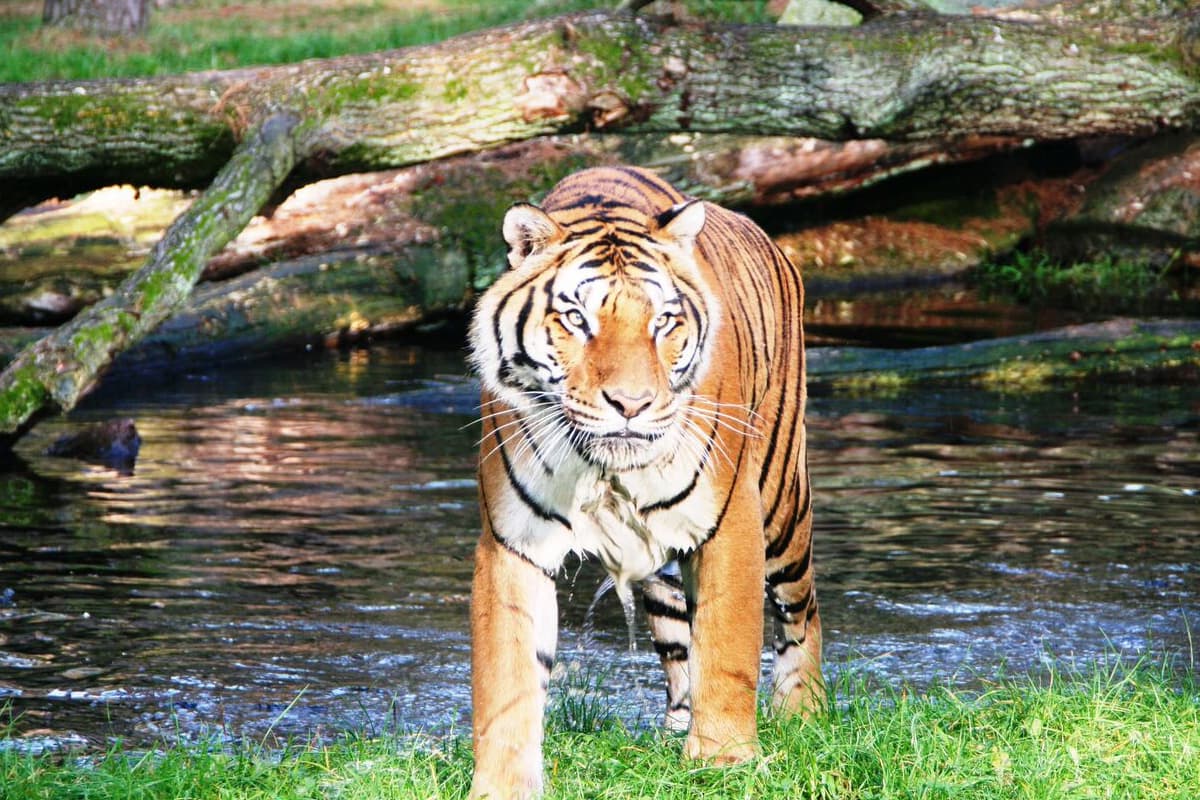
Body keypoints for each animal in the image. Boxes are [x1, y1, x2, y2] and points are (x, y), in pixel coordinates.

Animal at [467, 165, 821, 799]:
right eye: (576, 320)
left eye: (663, 322)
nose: (631, 404)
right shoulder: (513, 541)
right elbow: (506, 675)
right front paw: (502, 785)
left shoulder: (730, 523)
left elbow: (728, 645)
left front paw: (724, 760)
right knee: (678, 626)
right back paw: (676, 725)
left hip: (782, 500)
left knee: (802, 612)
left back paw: (804, 717)